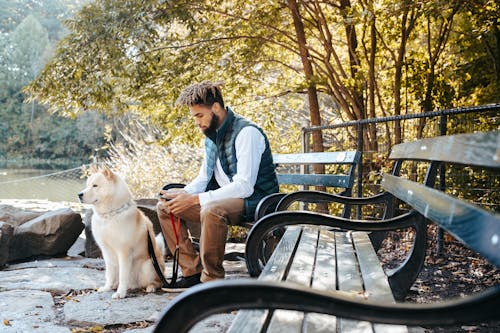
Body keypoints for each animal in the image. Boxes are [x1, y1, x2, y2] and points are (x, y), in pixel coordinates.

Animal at [77, 167, 165, 296]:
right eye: (87, 185)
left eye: (95, 185)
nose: (79, 194)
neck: (109, 215)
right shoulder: (106, 251)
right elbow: (109, 274)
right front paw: (107, 287)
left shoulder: (124, 252)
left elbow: (123, 276)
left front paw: (120, 293)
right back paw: (117, 286)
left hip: (147, 266)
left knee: (158, 282)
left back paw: (150, 287)